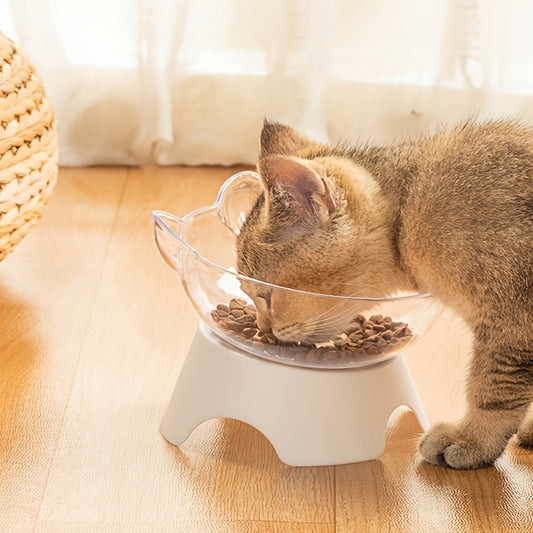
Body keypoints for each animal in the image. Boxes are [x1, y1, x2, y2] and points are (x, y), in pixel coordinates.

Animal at [235, 118, 532, 468]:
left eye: (267, 295)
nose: (263, 329)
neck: (409, 209)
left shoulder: (512, 321)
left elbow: (493, 387)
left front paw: (472, 438)